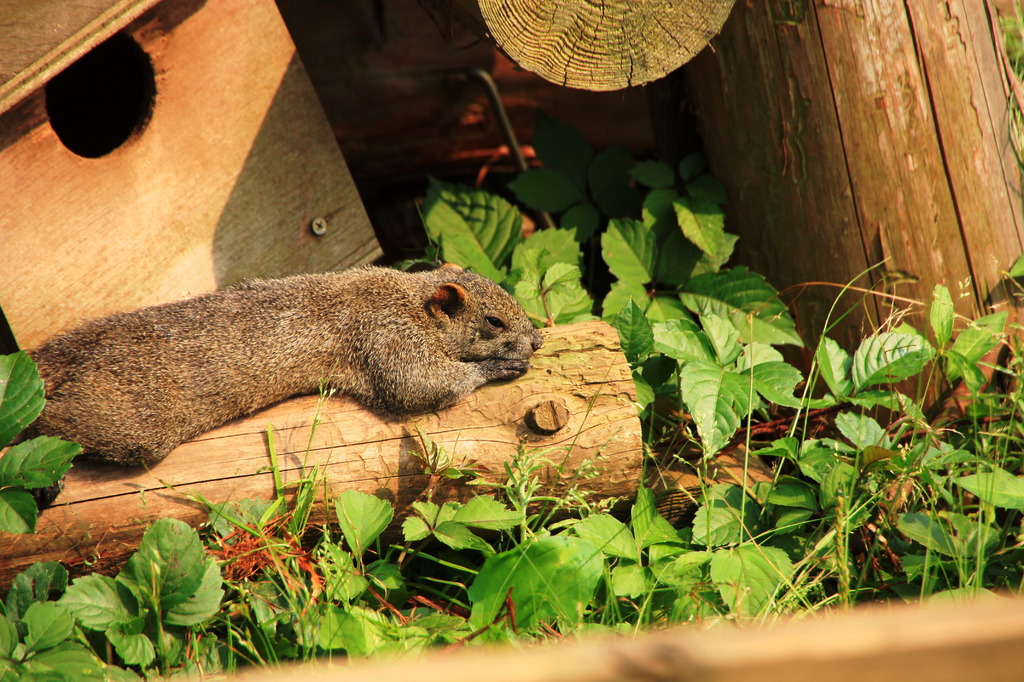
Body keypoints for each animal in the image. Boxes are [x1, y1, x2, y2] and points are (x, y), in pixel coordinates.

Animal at [24, 262, 544, 464]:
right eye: (494, 321)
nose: (537, 339)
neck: (406, 299)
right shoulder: (388, 338)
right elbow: (421, 386)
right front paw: (497, 368)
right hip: (131, 423)